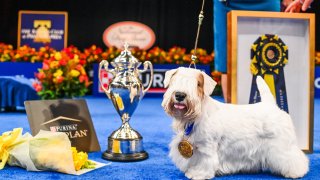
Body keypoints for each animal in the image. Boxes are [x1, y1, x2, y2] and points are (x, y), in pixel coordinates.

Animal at [161, 67, 308, 179]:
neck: (196, 116)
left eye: (197, 84)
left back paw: (296, 172)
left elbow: (205, 162)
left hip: (282, 146)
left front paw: (198, 174)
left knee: (294, 158)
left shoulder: (206, 148)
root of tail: (271, 105)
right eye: (174, 81)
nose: (180, 95)